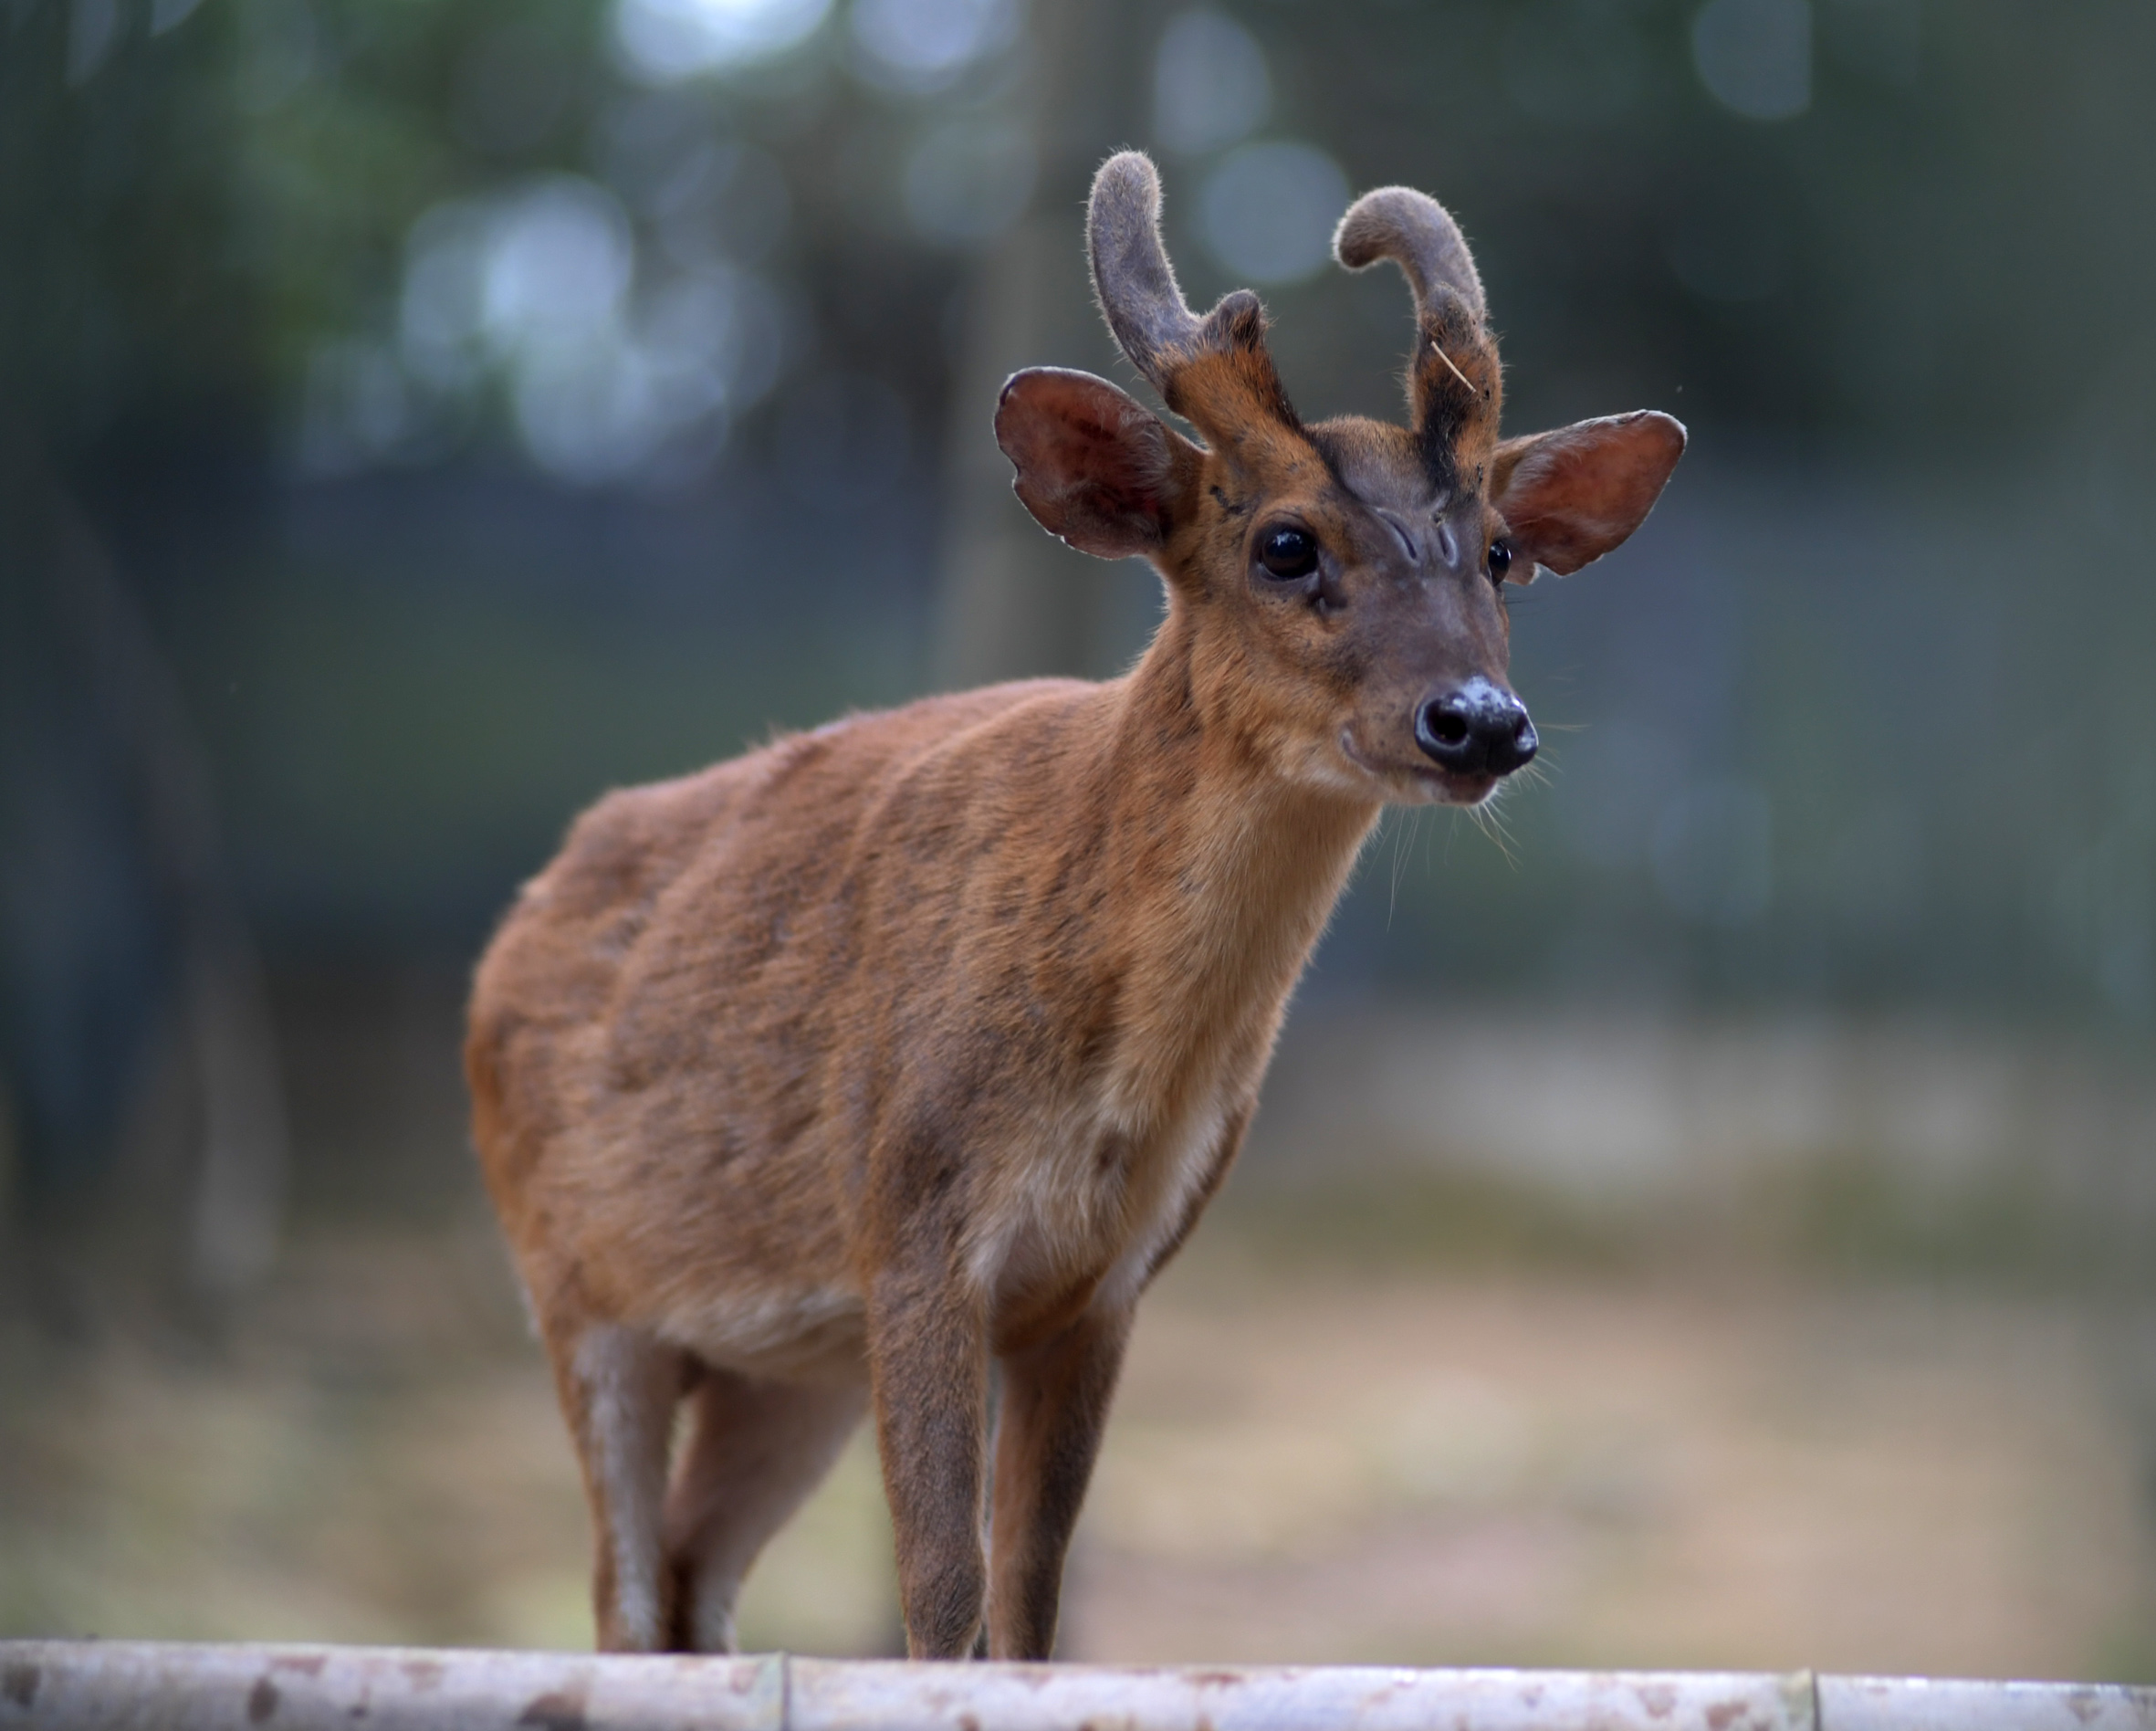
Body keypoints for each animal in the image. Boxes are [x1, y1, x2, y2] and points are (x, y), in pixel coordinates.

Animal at [467, 148, 1681, 1663]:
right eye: (1285, 543)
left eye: (1503, 552)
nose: (1477, 720)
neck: (1109, 1078)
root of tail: (514, 927)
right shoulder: (910, 1217)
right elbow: (942, 1591)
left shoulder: (1105, 1283)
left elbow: (1031, 1597)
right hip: (576, 1289)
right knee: (626, 1595)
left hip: (781, 1365)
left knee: (692, 1580)